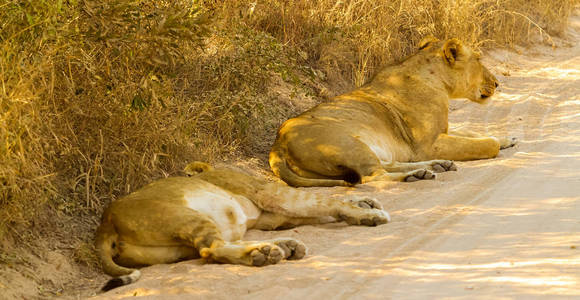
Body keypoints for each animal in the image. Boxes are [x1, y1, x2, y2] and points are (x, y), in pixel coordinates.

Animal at [96, 162, 390, 290]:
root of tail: (106, 221)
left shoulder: (276, 217)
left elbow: (326, 206)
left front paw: (365, 204)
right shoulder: (272, 194)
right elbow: (325, 201)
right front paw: (370, 213)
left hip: (176, 249)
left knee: (214, 248)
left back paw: (281, 247)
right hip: (185, 216)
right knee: (211, 249)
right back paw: (266, 253)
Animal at [268, 37, 516, 188]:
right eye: (478, 60)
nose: (496, 83)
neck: (437, 80)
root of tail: (277, 143)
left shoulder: (441, 132)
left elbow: (472, 133)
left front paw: (508, 138)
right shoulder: (426, 146)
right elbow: (487, 145)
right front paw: (498, 142)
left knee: (387, 165)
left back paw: (436, 166)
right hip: (350, 145)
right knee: (373, 176)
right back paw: (416, 175)